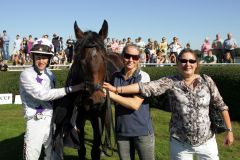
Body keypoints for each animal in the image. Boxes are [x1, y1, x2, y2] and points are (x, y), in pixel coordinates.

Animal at [52, 19, 124, 159]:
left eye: (104, 59)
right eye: (81, 60)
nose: (96, 98)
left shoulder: (98, 118)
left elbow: (95, 149)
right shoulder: (78, 119)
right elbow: (82, 149)